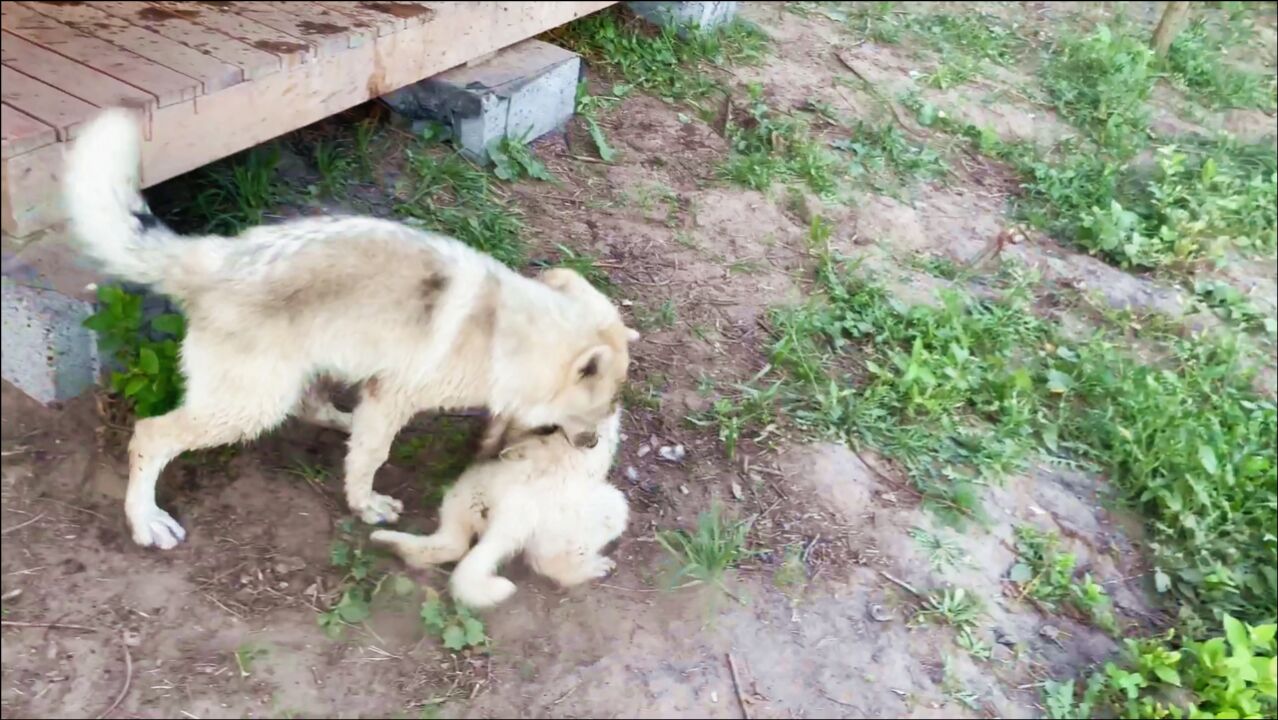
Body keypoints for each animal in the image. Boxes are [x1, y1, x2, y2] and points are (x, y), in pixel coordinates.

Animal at [373, 411, 626, 608]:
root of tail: (509, 520)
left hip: (462, 497)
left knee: (452, 544)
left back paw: (389, 542)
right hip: (613, 507)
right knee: (546, 563)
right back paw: (592, 568)